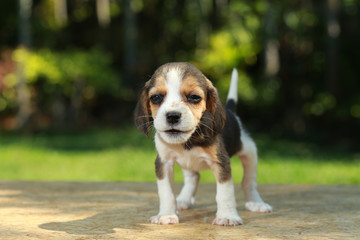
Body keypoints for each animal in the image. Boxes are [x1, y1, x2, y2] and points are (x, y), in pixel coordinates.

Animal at [135, 62, 272, 225]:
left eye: (194, 97)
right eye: (156, 97)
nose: (172, 116)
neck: (189, 138)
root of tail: (230, 111)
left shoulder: (221, 163)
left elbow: (225, 193)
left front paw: (227, 216)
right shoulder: (163, 162)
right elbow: (166, 192)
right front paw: (166, 215)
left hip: (249, 152)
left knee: (248, 182)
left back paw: (256, 203)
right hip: (187, 163)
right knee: (193, 177)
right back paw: (183, 200)